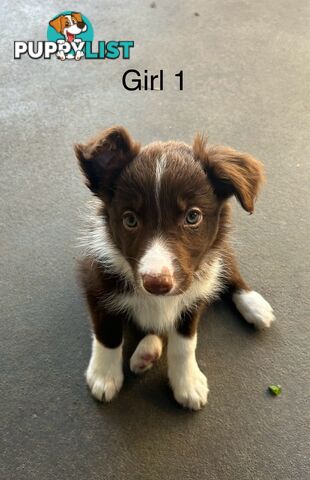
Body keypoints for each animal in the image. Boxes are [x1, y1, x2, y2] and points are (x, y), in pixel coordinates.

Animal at [74, 125, 274, 410]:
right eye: (130, 220)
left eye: (193, 216)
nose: (157, 283)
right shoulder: (97, 278)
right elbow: (108, 333)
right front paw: (104, 376)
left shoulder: (193, 294)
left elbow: (185, 342)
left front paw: (187, 383)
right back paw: (147, 350)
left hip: (217, 254)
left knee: (229, 267)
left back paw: (253, 304)